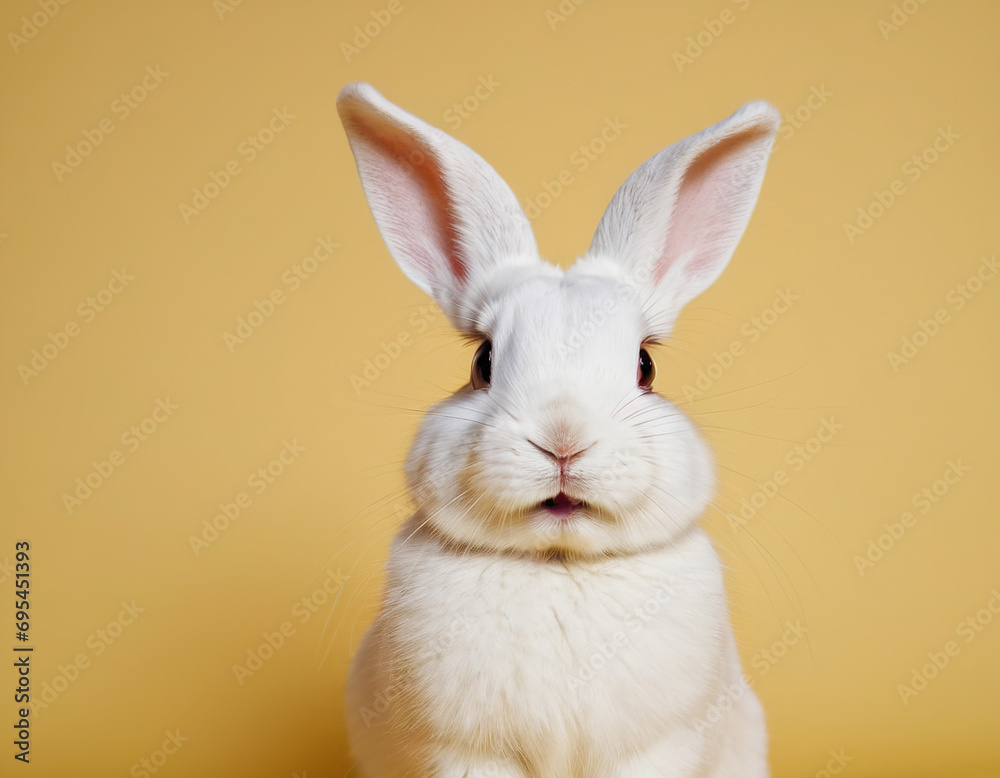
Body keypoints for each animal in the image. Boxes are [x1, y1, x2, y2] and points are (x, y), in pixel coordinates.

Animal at [337, 81, 780, 778]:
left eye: (646, 366)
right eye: (482, 362)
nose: (563, 438)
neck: (558, 565)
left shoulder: (653, 748)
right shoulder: (468, 754)